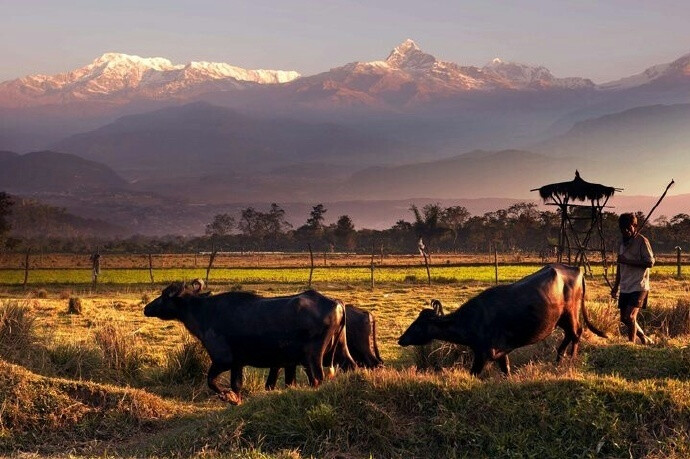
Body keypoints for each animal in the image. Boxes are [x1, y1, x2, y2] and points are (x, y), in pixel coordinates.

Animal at [142, 284, 352, 406]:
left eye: (164, 295)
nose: (146, 308)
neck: (205, 311)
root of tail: (336, 302)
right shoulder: (238, 363)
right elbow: (236, 385)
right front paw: (235, 399)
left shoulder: (223, 360)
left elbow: (211, 381)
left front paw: (228, 397)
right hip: (337, 352)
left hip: (313, 357)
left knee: (317, 378)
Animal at [396, 264, 604, 376]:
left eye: (418, 325)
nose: (401, 339)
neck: (472, 321)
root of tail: (576, 269)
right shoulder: (500, 352)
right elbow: (506, 370)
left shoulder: (485, 354)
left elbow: (474, 373)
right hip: (560, 319)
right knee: (569, 335)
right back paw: (558, 360)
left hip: (570, 314)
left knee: (576, 333)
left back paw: (571, 360)